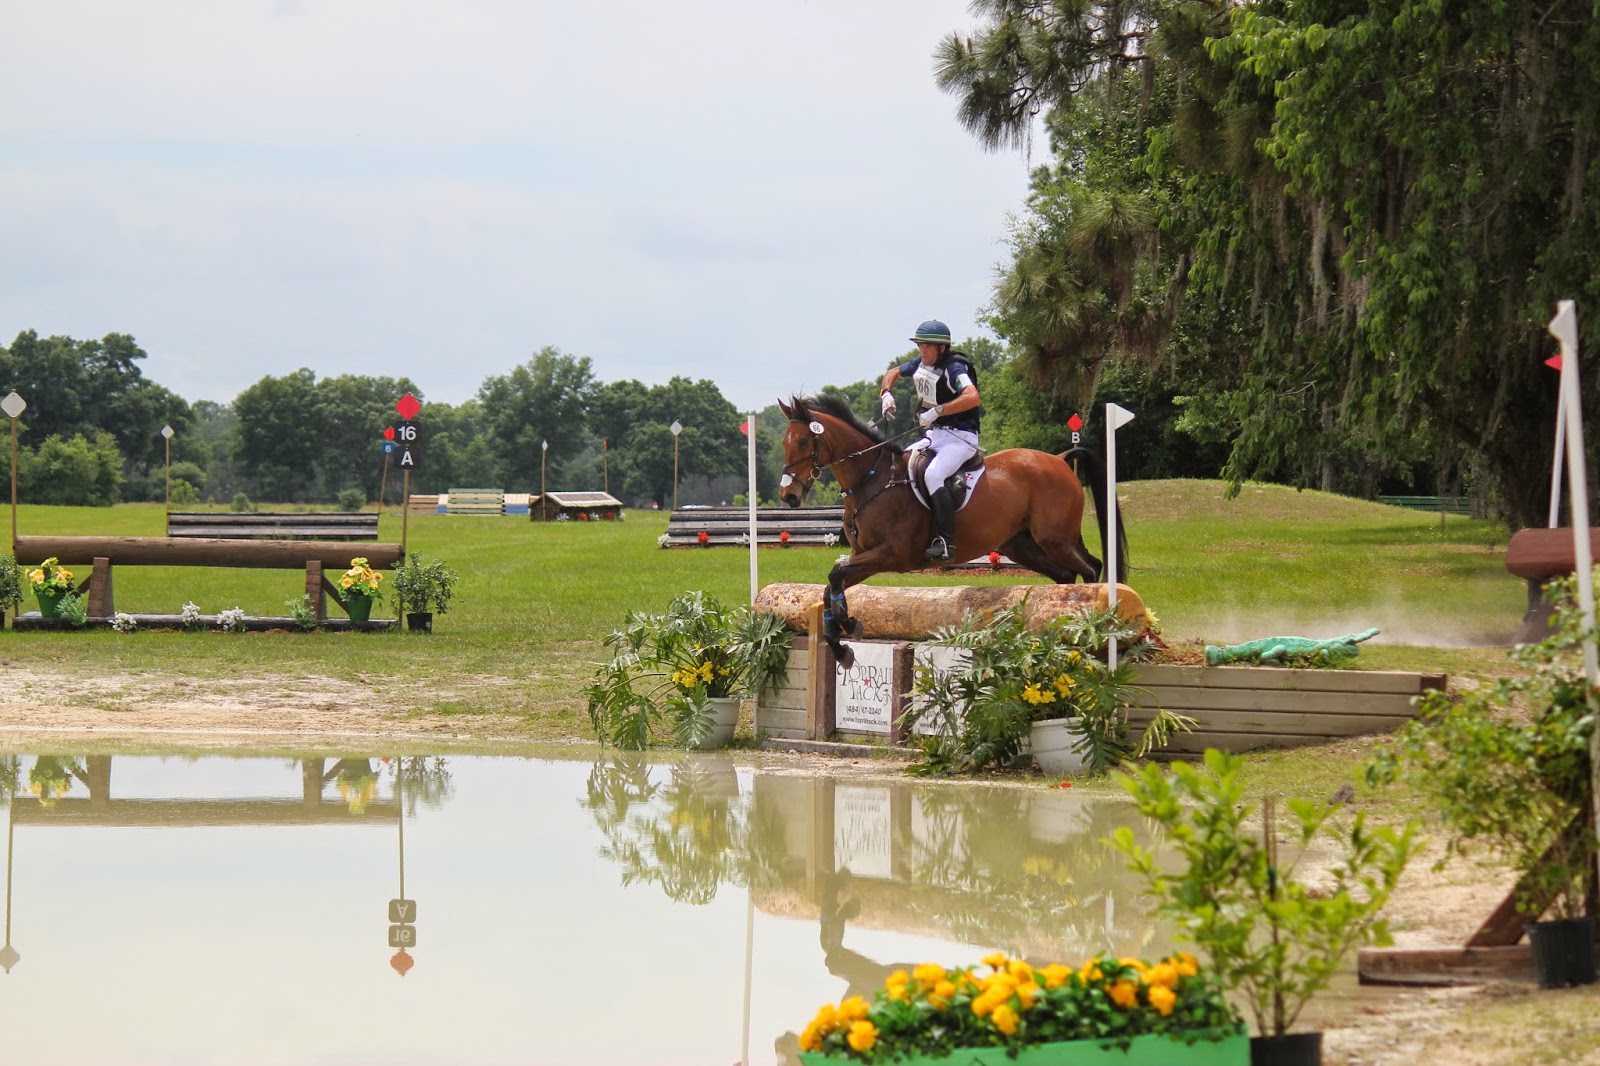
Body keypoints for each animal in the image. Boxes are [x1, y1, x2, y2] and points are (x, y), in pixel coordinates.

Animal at [776, 394, 1128, 667]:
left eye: (804, 441)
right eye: (784, 443)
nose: (788, 496)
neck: (871, 480)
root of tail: (1060, 459)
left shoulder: (890, 554)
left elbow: (835, 575)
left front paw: (848, 626)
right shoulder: (863, 556)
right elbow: (831, 586)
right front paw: (842, 642)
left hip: (1053, 538)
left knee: (1090, 568)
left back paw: (1090, 627)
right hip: (1024, 546)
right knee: (1067, 575)